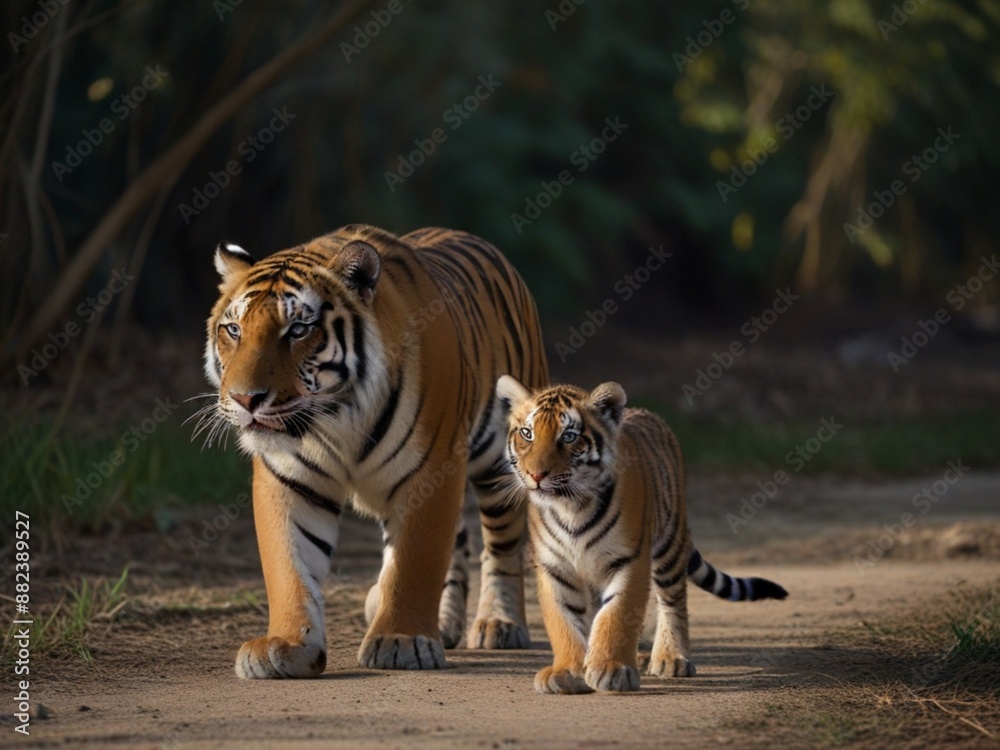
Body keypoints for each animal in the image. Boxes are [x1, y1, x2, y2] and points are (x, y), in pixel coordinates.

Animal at [200, 224, 548, 677]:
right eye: (234, 331)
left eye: (298, 330)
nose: (245, 399)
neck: (335, 416)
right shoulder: (288, 479)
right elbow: (289, 566)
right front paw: (286, 644)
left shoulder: (430, 470)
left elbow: (415, 559)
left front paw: (401, 640)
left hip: (501, 464)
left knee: (502, 544)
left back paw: (499, 624)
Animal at [495, 375, 788, 694]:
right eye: (527, 433)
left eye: (569, 437)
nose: (536, 475)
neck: (571, 505)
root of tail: (648, 413)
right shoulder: (554, 566)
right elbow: (564, 620)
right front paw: (567, 672)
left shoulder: (629, 558)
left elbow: (616, 614)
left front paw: (610, 670)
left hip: (669, 546)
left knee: (672, 602)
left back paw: (671, 658)